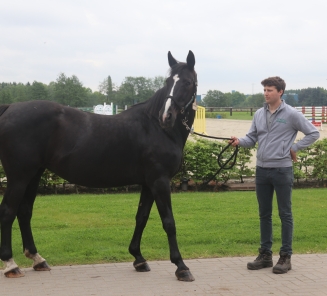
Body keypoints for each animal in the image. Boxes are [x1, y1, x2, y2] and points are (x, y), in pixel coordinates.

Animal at [0, 50, 197, 280]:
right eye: (168, 82)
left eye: (187, 82)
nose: (166, 116)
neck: (154, 127)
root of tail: (10, 108)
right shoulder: (160, 181)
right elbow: (169, 222)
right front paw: (181, 267)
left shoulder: (149, 183)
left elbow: (141, 217)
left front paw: (138, 258)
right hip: (19, 177)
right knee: (8, 212)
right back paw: (11, 264)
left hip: (34, 175)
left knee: (24, 212)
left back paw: (37, 259)